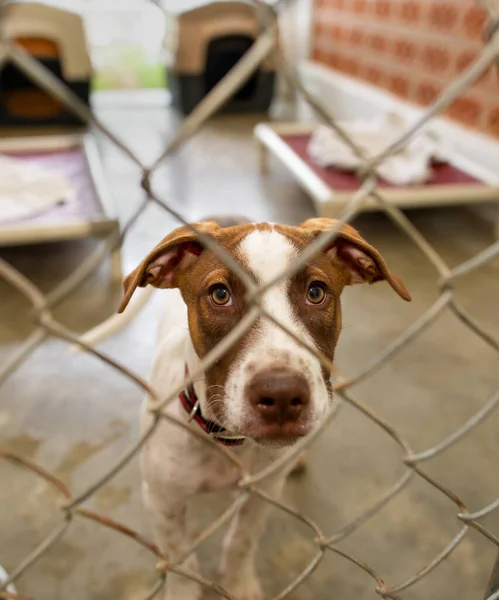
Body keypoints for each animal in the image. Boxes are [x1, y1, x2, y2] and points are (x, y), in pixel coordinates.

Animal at [119, 217, 412, 600]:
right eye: (220, 295)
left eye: (316, 292)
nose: (282, 396)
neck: (228, 442)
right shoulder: (160, 499)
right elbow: (182, 560)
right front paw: (184, 591)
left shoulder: (263, 494)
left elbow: (241, 542)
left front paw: (239, 584)